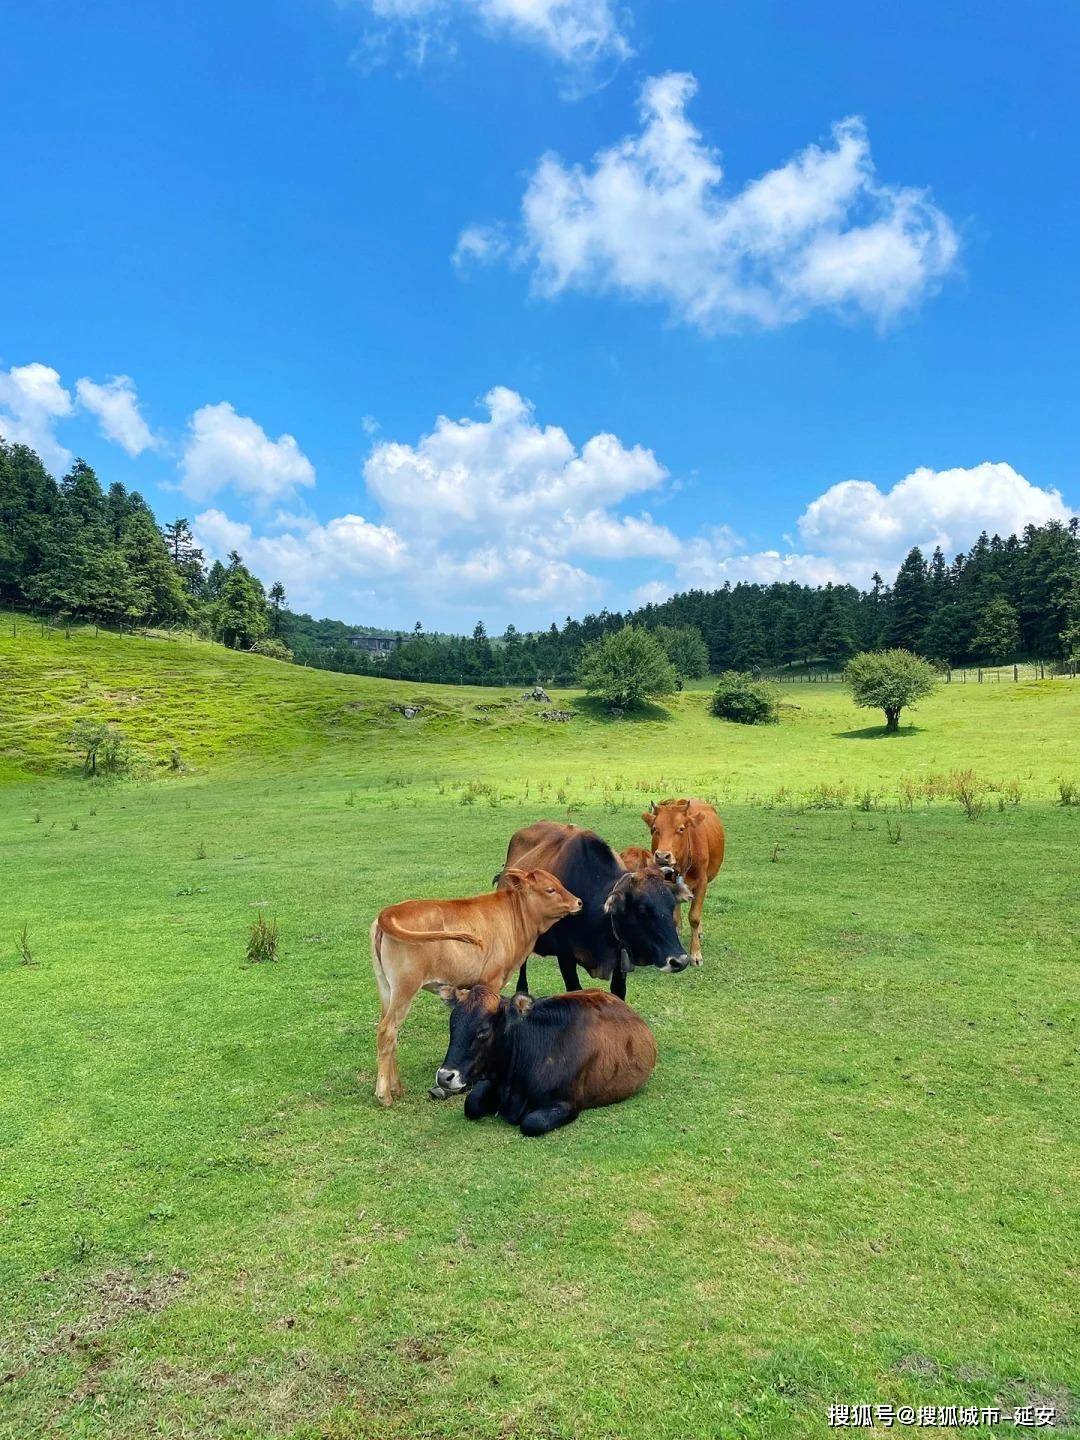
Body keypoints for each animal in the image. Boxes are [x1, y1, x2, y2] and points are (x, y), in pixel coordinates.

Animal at [371, 864, 578, 1111]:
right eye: (550, 889)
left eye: (558, 883)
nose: (578, 902)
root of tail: (391, 910)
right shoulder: (492, 980)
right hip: (405, 988)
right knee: (387, 1031)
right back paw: (385, 1095)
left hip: (387, 988)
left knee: (388, 1032)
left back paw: (397, 1087)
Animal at [434, 984, 656, 1128]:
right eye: (452, 1025)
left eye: (483, 1031)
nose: (444, 1076)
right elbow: (471, 1104)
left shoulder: (567, 1104)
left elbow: (532, 1123)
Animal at [495, 823, 688, 1002]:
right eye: (642, 910)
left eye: (672, 905)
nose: (680, 960)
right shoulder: (565, 956)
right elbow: (574, 989)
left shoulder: (620, 959)